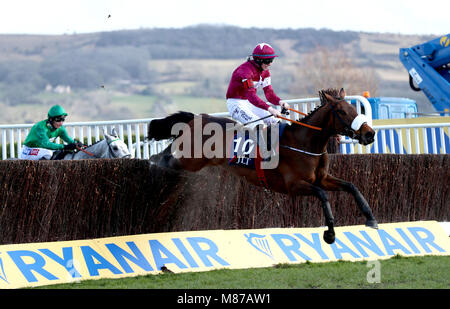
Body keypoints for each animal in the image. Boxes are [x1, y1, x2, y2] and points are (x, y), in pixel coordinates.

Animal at [147, 87, 376, 243]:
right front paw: (329, 233)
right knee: (166, 158)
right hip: (190, 160)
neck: (304, 142)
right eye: (343, 112)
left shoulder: (322, 179)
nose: (370, 134)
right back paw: (152, 162)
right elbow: (322, 195)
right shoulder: (293, 186)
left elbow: (351, 186)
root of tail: (196, 117)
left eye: (354, 108)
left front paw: (371, 218)